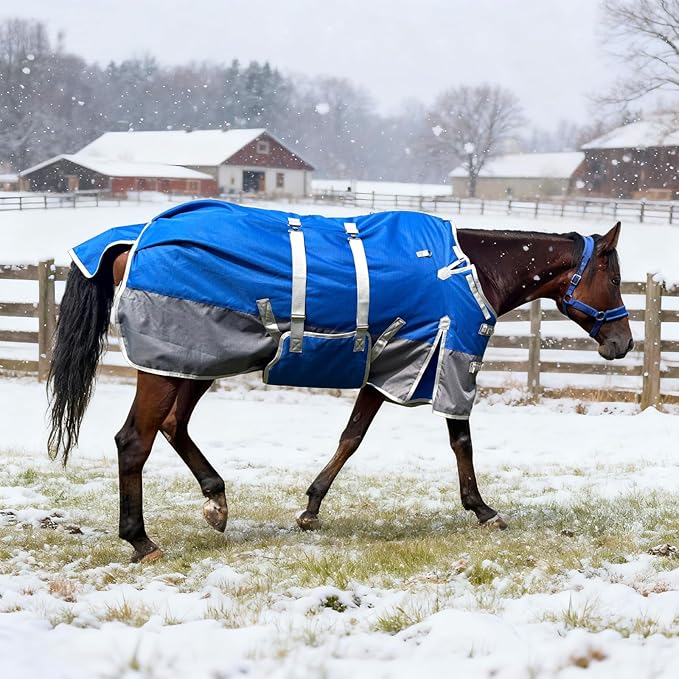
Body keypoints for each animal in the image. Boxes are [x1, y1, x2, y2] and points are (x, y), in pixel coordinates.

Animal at [47, 205, 633, 563]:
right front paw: (482, 509)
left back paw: (216, 501)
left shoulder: (392, 368)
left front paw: (310, 508)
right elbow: (458, 440)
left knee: (173, 426)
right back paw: (141, 539)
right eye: (614, 275)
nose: (622, 342)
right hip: (168, 365)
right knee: (134, 441)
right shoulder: (444, 362)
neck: (467, 270)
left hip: (193, 362)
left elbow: (351, 436)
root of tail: (135, 238)